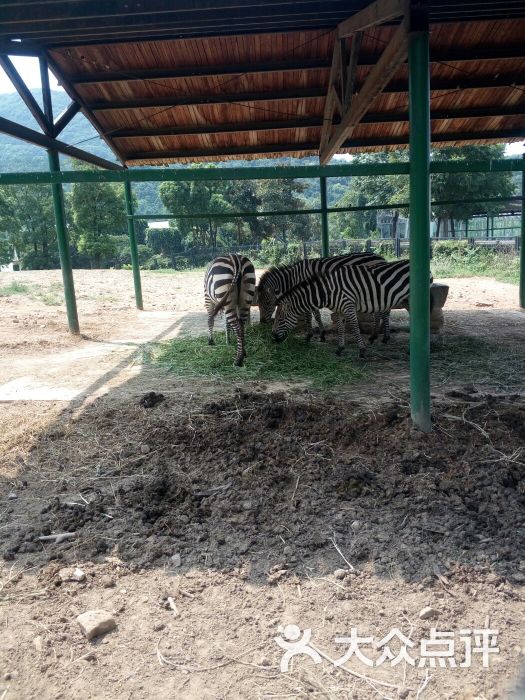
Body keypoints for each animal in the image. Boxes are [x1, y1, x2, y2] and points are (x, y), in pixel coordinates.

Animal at [272, 260, 432, 358]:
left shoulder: (348, 305)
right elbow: (340, 328)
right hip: (406, 302)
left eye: (280, 318)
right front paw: (340, 349)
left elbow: (355, 327)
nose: (273, 338)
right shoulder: (340, 309)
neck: (328, 291)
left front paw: (362, 350)